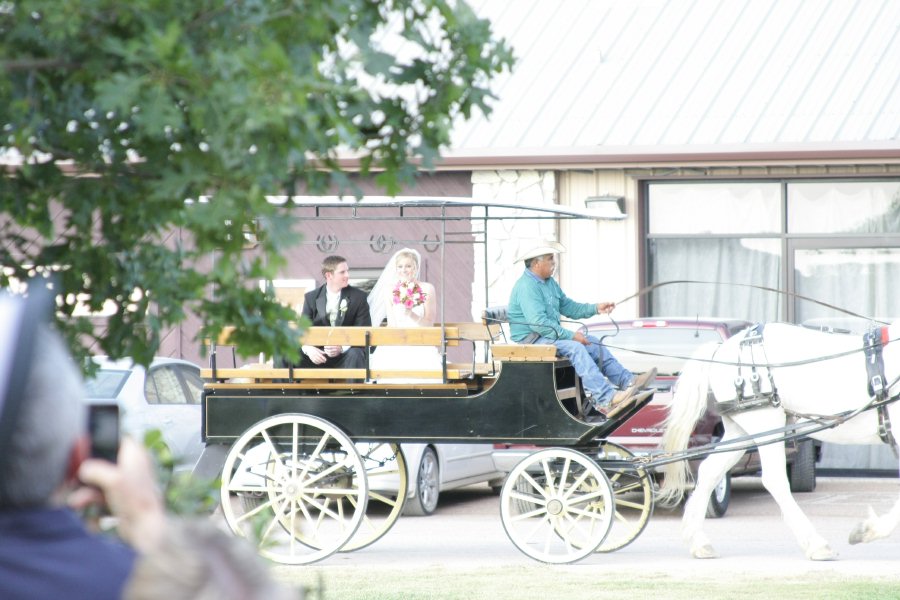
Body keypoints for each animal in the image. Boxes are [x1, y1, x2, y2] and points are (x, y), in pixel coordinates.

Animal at [652, 322, 900, 560]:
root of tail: (723, 349)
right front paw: (869, 530)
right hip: (767, 424)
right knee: (775, 480)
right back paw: (816, 544)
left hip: (740, 431)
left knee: (709, 471)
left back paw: (699, 542)